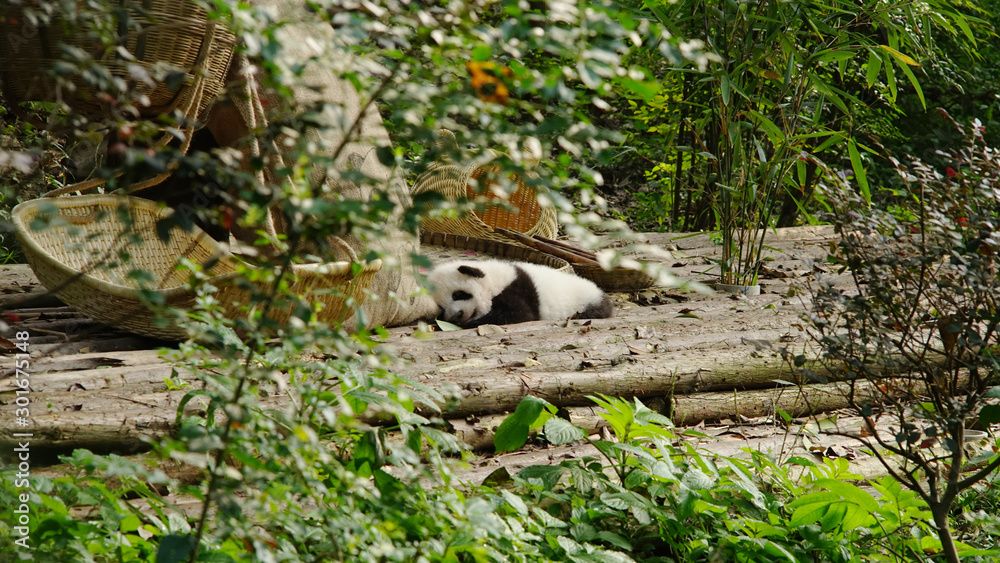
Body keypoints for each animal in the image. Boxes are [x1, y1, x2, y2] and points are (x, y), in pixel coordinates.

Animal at [426, 259, 613, 328]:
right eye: (441, 307)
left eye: (458, 295)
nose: (456, 316)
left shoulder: (516, 290)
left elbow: (518, 314)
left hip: (586, 298)